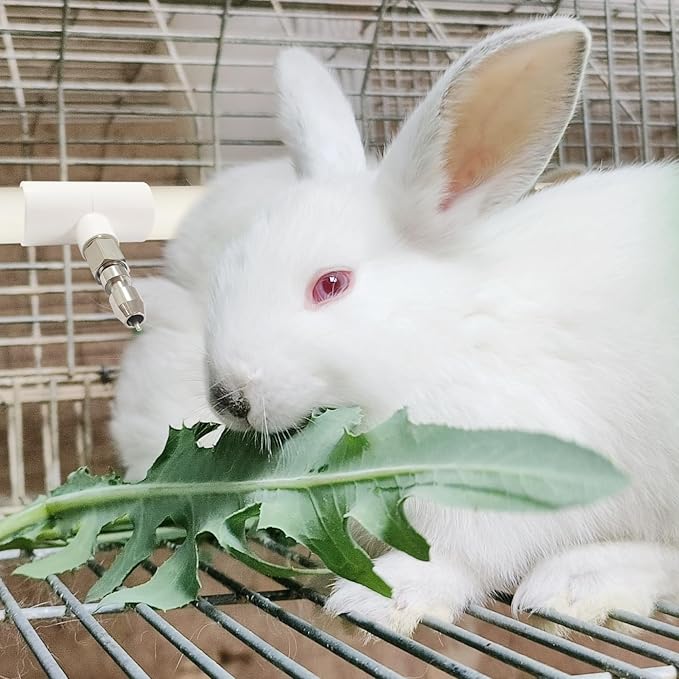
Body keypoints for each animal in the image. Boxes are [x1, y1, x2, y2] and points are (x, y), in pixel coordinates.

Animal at [114, 17, 679, 638]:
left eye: (331, 284)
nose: (228, 398)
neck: (441, 335)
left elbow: (451, 554)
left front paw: (379, 598)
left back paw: (577, 583)